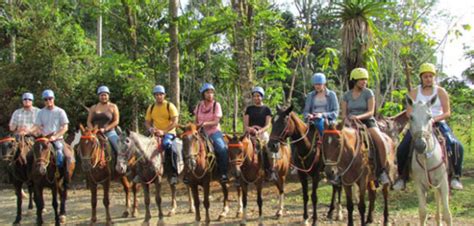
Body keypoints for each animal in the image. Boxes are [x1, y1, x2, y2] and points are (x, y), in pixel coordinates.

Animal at [406, 94, 454, 225]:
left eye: (429, 117)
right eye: (411, 117)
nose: (420, 145)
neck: (427, 158)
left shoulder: (443, 182)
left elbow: (447, 214)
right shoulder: (419, 184)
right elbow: (423, 212)